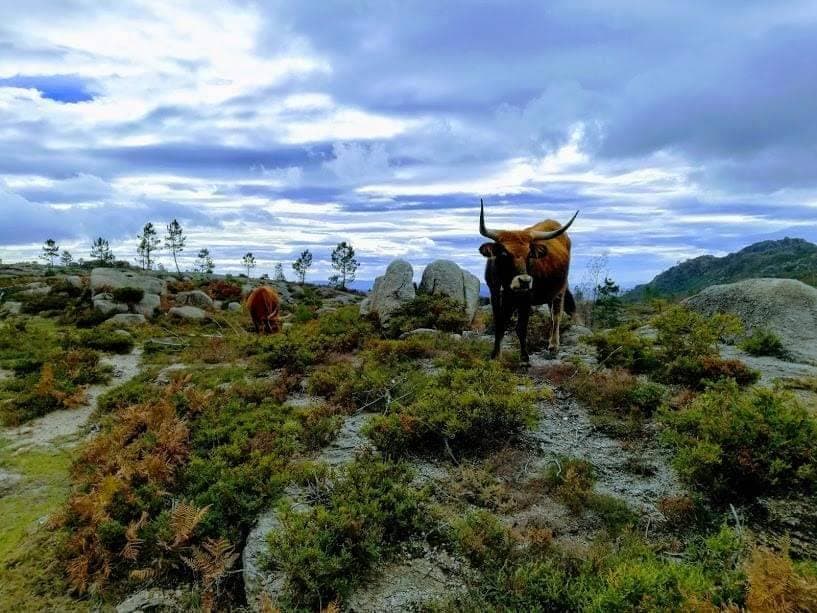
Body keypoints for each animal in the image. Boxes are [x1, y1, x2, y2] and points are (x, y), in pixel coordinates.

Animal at [474, 198, 576, 364]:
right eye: (504, 253)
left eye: (529, 254)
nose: (525, 281)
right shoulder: (494, 294)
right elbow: (499, 324)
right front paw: (495, 355)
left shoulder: (526, 297)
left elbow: (521, 327)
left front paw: (524, 358)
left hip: (560, 289)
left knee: (556, 314)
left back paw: (553, 346)